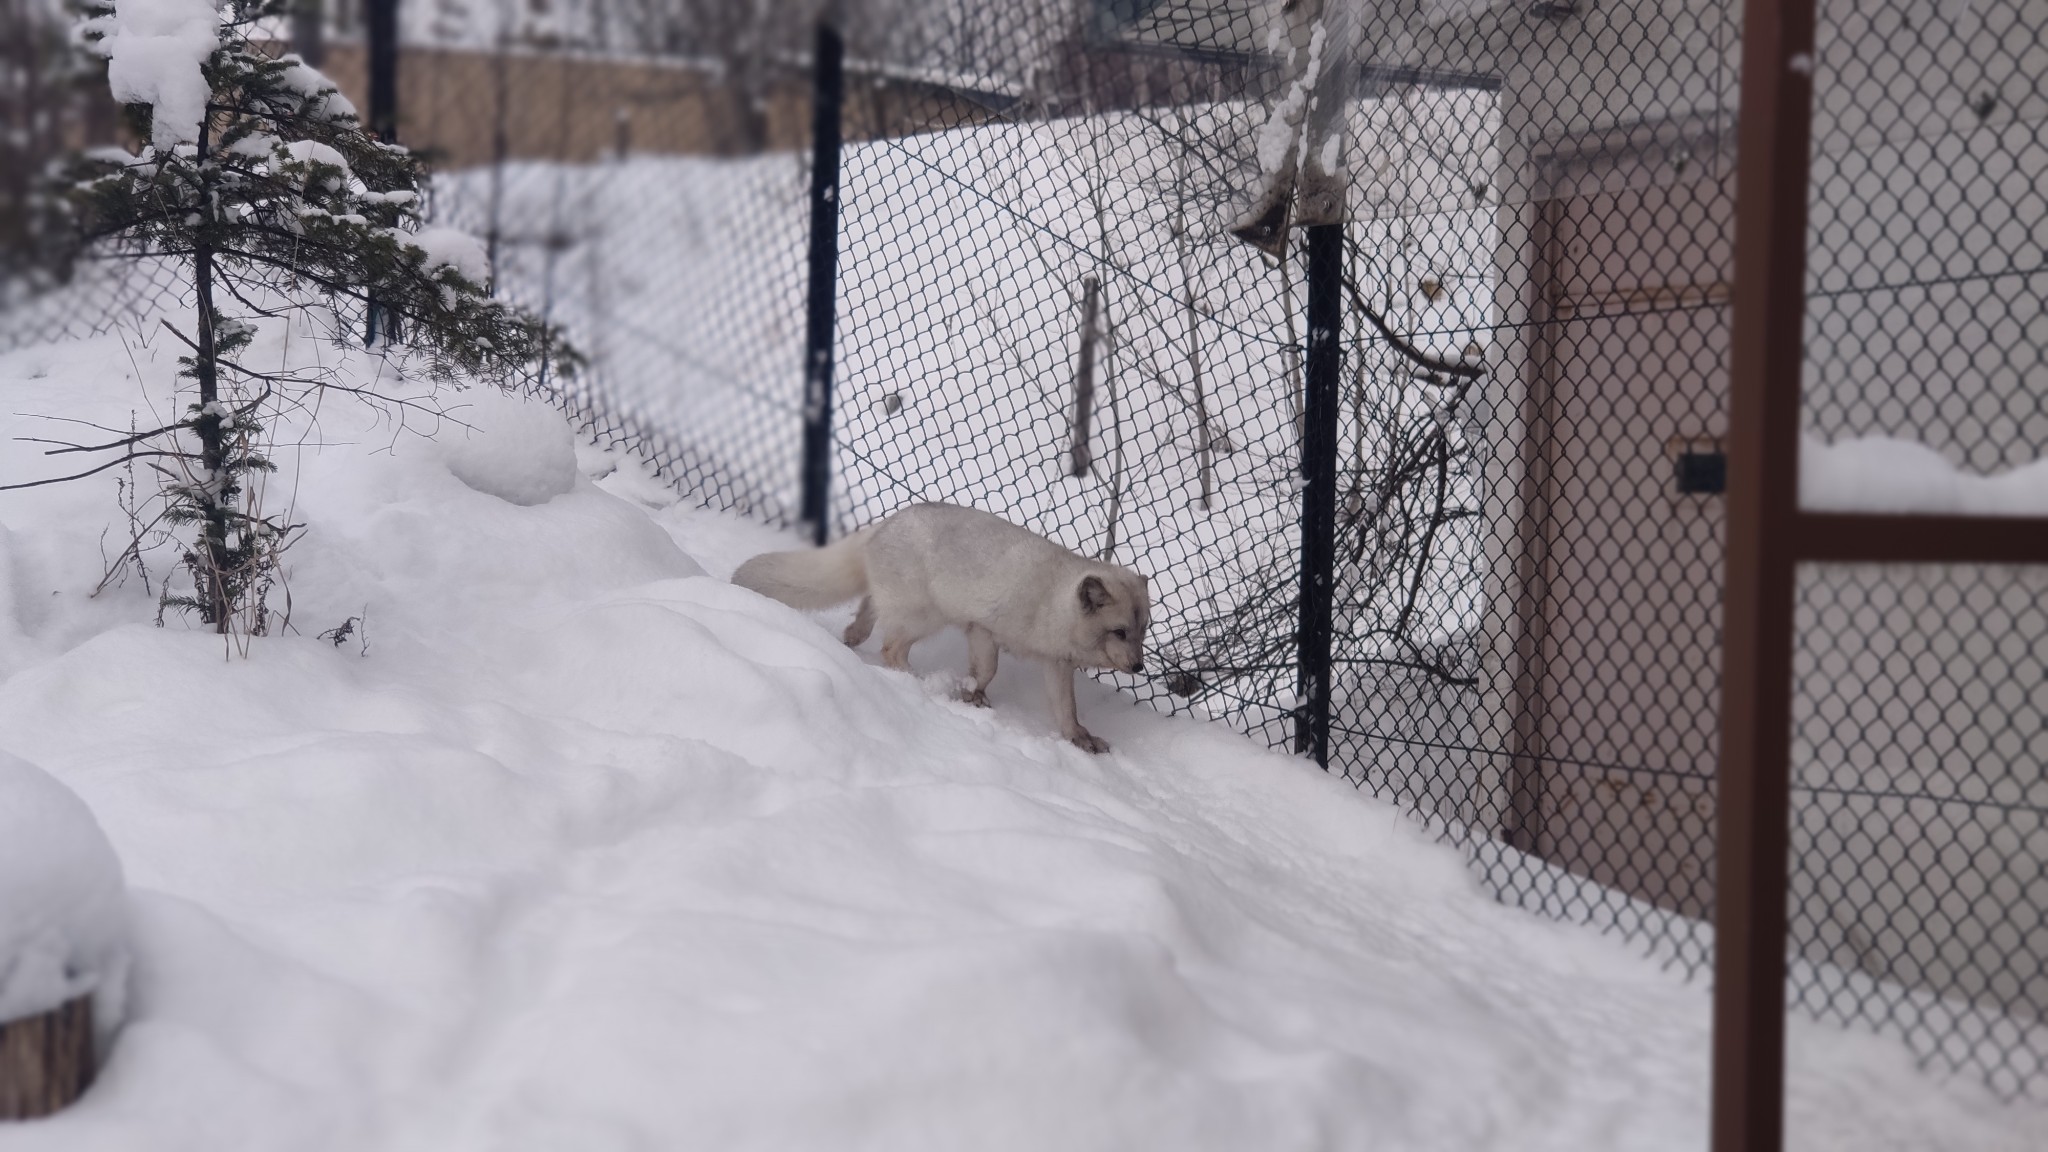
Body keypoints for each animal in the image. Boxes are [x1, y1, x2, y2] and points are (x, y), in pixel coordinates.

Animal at [733, 502, 1155, 754]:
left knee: (869, 610)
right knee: (891, 648)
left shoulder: (1056, 663)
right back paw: (916, 681)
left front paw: (1079, 739)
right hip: (927, 616)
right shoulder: (982, 629)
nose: (1138, 666)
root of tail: (883, 525)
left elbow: (1067, 710)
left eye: (1142, 632)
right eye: (1119, 631)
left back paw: (854, 637)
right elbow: (987, 670)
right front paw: (970, 695)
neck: (1050, 603)